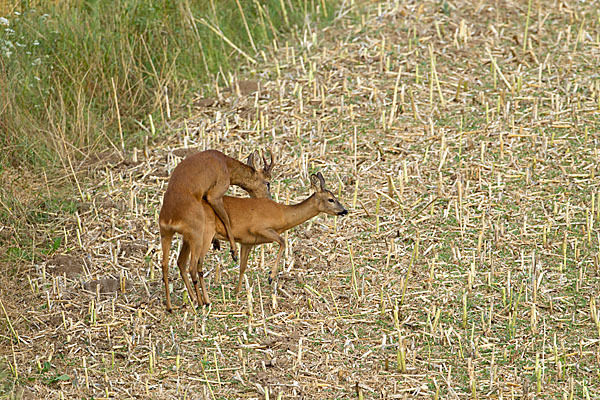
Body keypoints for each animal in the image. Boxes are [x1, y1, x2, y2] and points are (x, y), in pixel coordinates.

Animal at [158, 148, 274, 310]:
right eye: (267, 182)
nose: (269, 200)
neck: (226, 166)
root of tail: (171, 219)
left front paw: (218, 243)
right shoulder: (215, 194)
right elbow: (226, 219)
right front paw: (234, 252)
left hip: (166, 233)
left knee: (167, 265)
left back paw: (173, 305)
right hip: (196, 233)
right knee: (192, 266)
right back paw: (202, 302)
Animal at [169, 170, 346, 308]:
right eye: (331, 199)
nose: (344, 211)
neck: (282, 214)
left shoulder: (247, 241)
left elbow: (242, 267)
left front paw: (237, 291)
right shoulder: (260, 228)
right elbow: (283, 242)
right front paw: (270, 276)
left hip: (188, 238)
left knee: (181, 262)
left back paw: (193, 299)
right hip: (204, 235)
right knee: (194, 265)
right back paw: (204, 301)